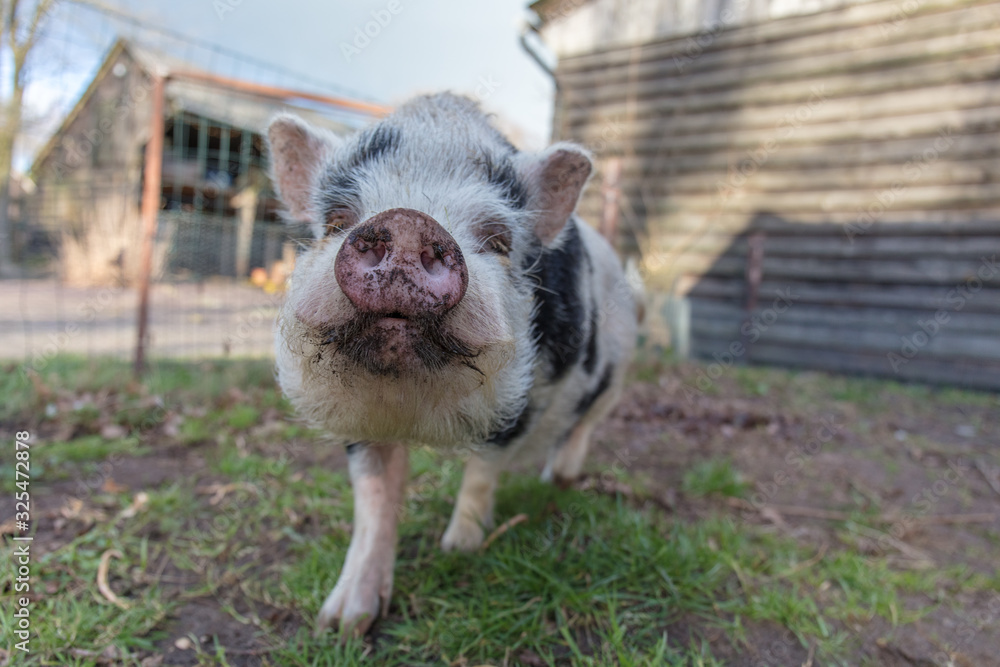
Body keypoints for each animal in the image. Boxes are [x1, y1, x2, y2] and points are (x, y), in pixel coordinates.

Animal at [267, 93, 639, 636]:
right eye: (336, 219)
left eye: (498, 239)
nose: (407, 221)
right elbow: (373, 498)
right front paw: (342, 624)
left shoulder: (525, 397)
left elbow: (483, 470)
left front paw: (460, 548)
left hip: (618, 370)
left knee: (586, 422)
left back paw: (559, 480)